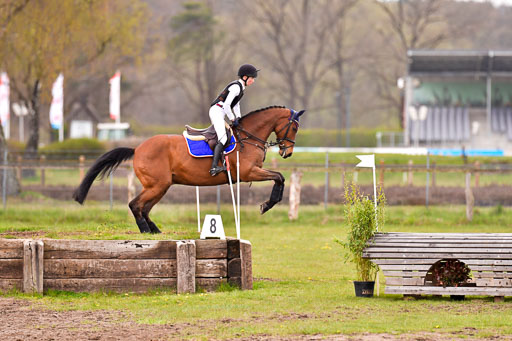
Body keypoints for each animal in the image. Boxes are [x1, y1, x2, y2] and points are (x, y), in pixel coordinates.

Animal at [72, 105, 304, 234]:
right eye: (294, 127)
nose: (288, 152)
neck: (248, 136)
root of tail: (137, 148)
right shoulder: (248, 173)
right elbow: (279, 177)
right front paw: (267, 204)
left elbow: (280, 177)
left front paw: (269, 203)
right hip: (157, 185)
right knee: (135, 205)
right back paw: (146, 230)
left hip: (161, 186)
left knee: (144, 208)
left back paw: (155, 230)